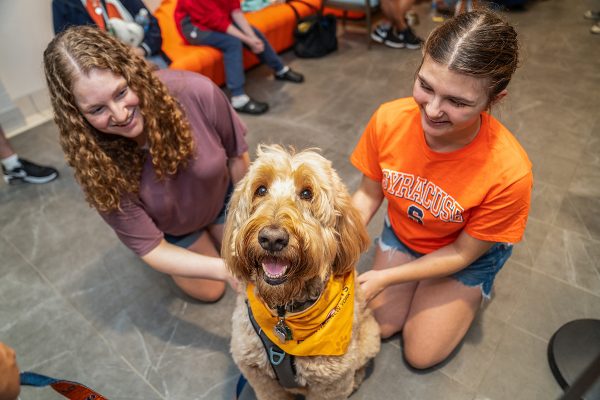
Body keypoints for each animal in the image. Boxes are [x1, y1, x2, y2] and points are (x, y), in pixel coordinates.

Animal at [220, 145, 380, 398]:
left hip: (370, 339)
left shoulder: (330, 385)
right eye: (261, 189)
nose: (272, 239)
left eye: (307, 193)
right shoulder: (257, 373)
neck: (284, 314)